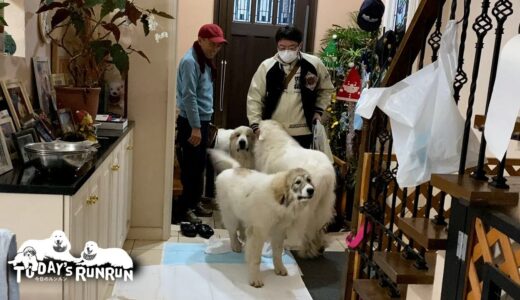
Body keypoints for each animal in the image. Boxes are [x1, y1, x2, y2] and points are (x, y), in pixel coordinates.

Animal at [209, 151, 314, 288]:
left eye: (309, 180)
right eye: (297, 182)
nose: (311, 190)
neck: (279, 203)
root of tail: (233, 169)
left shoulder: (279, 232)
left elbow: (277, 253)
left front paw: (279, 268)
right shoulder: (259, 233)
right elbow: (255, 259)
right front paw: (255, 278)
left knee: (242, 228)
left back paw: (243, 239)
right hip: (230, 214)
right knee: (232, 231)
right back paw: (236, 245)